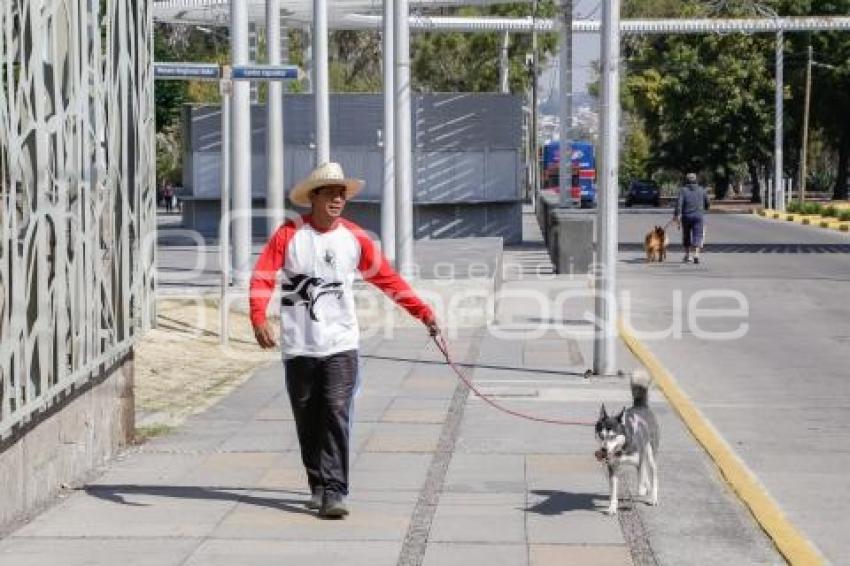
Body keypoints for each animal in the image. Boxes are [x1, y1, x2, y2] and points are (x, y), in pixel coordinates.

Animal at [592, 370, 660, 516]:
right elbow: (613, 491)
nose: (603, 450)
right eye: (601, 436)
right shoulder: (613, 467)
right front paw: (612, 507)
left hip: (650, 453)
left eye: (612, 436)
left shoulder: (639, 460)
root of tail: (641, 406)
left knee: (652, 473)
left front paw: (642, 490)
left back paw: (653, 497)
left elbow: (640, 481)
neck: (621, 449)